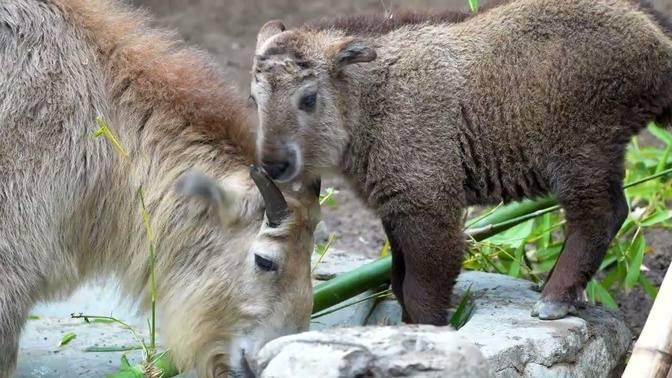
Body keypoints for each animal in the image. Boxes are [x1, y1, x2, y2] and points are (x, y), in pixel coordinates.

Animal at [251, 0, 672, 324]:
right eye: (255, 99)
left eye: (308, 98)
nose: (273, 165)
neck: (368, 101)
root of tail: (658, 39)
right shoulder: (395, 209)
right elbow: (399, 281)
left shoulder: (428, 206)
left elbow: (421, 290)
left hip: (581, 152)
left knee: (601, 215)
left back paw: (554, 298)